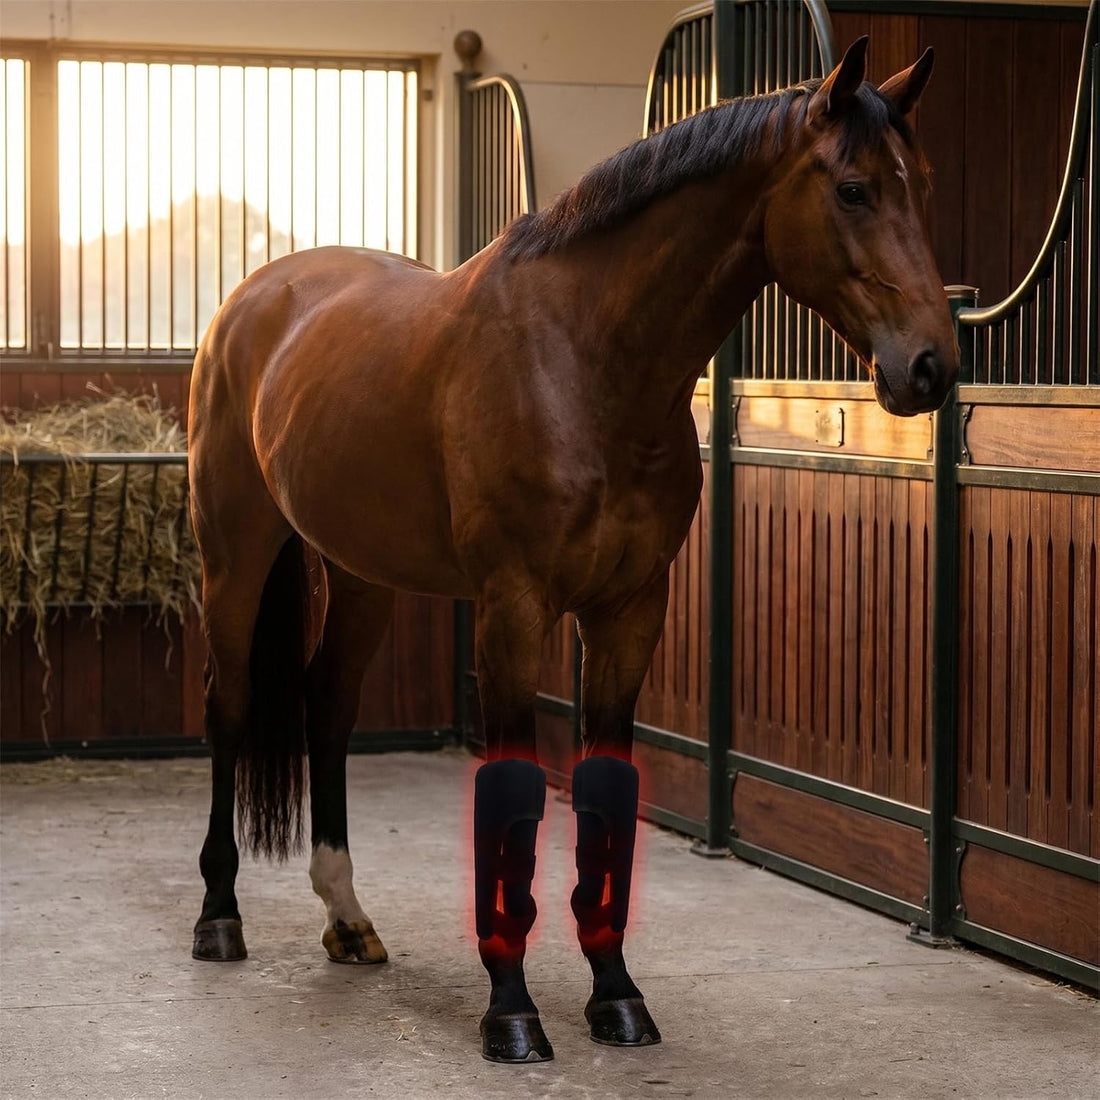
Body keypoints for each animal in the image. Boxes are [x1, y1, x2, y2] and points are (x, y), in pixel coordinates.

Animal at [187, 37, 956, 1063]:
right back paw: (219, 917)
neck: (586, 365)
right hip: (234, 555)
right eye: (855, 189)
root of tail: (253, 300)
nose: (931, 367)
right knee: (230, 706)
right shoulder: (512, 613)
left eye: (923, 186)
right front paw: (511, 1012)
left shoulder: (631, 610)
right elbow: (514, 794)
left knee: (328, 708)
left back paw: (347, 919)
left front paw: (616, 995)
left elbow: (602, 792)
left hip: (360, 575)